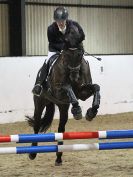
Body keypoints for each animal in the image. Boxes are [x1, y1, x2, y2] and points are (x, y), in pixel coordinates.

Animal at [27, 25, 100, 165]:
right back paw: (32, 153)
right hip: (40, 103)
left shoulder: (82, 93)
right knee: (37, 125)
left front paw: (91, 112)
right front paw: (77, 110)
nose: (74, 76)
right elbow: (67, 86)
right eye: (65, 54)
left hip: (63, 106)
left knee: (61, 130)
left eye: (80, 54)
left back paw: (59, 157)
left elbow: (96, 87)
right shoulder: (58, 91)